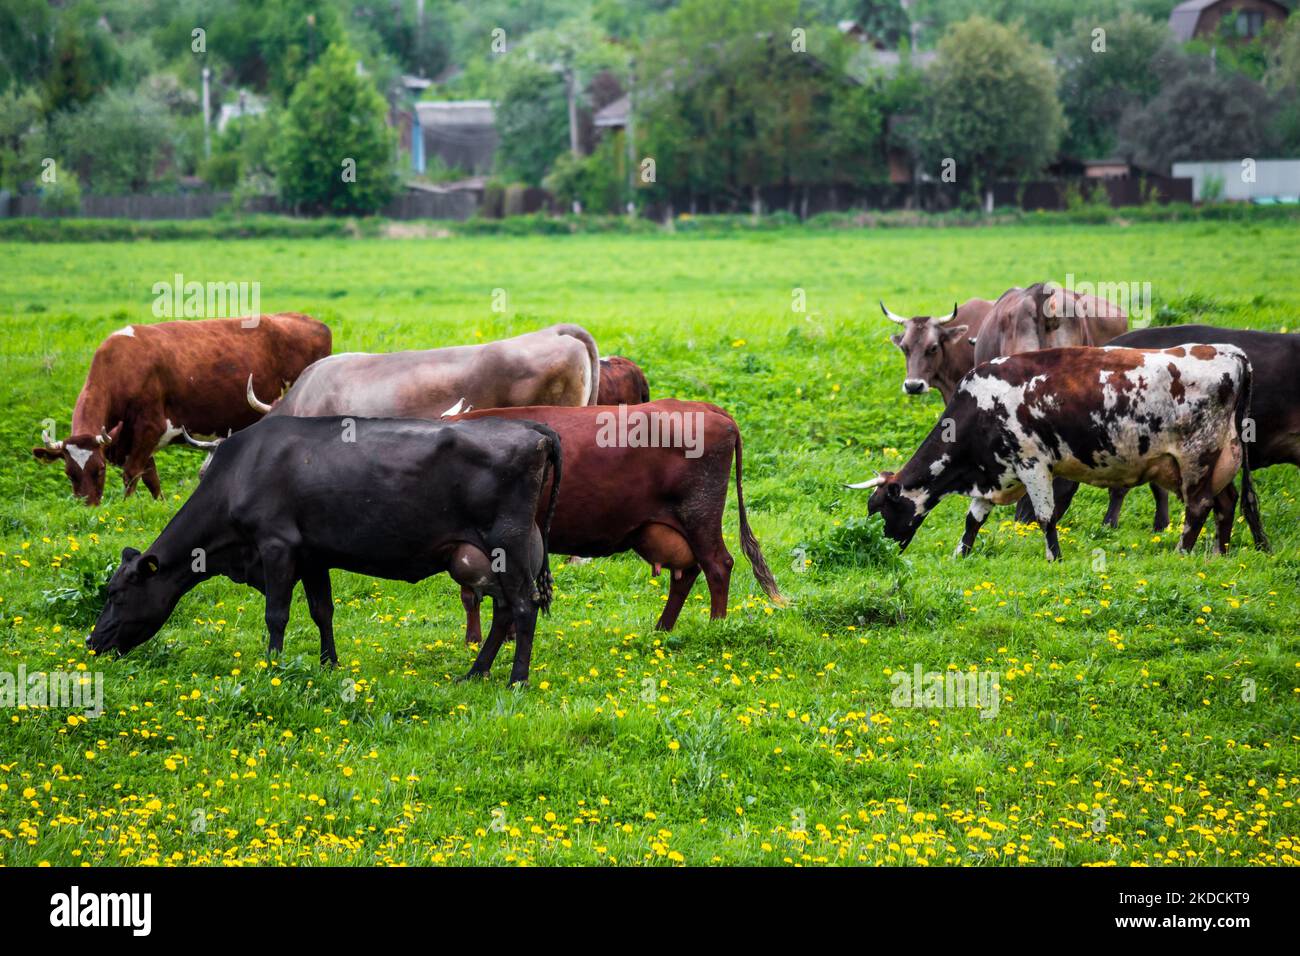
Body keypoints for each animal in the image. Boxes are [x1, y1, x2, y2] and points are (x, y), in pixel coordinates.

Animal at [32, 313, 331, 506]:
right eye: (69, 473)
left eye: (100, 469)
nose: (89, 507)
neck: (123, 367)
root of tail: (311, 321)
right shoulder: (132, 440)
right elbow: (151, 478)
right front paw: (161, 506)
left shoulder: (149, 428)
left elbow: (132, 474)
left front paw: (126, 508)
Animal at [87, 414, 562, 685]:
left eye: (116, 594)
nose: (92, 641)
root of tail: (532, 429)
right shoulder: (313, 554)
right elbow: (322, 611)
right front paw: (328, 665)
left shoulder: (276, 545)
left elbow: (277, 614)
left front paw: (273, 668)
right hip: (492, 555)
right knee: (504, 610)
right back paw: (474, 673)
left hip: (507, 543)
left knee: (523, 608)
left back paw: (516, 680)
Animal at [447, 401, 785, 643]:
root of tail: (708, 408)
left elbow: (479, 590)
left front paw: (479, 639)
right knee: (687, 572)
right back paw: (662, 628)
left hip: (700, 515)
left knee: (717, 565)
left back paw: (716, 625)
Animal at [847, 345, 1267, 561]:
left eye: (881, 509)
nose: (885, 548)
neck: (981, 405)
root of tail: (1230, 353)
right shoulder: (994, 473)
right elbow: (973, 520)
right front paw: (960, 554)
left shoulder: (1032, 463)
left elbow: (1046, 517)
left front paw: (1055, 556)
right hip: (1219, 460)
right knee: (1226, 502)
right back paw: (1219, 553)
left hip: (1196, 457)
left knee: (1199, 507)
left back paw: (1182, 552)